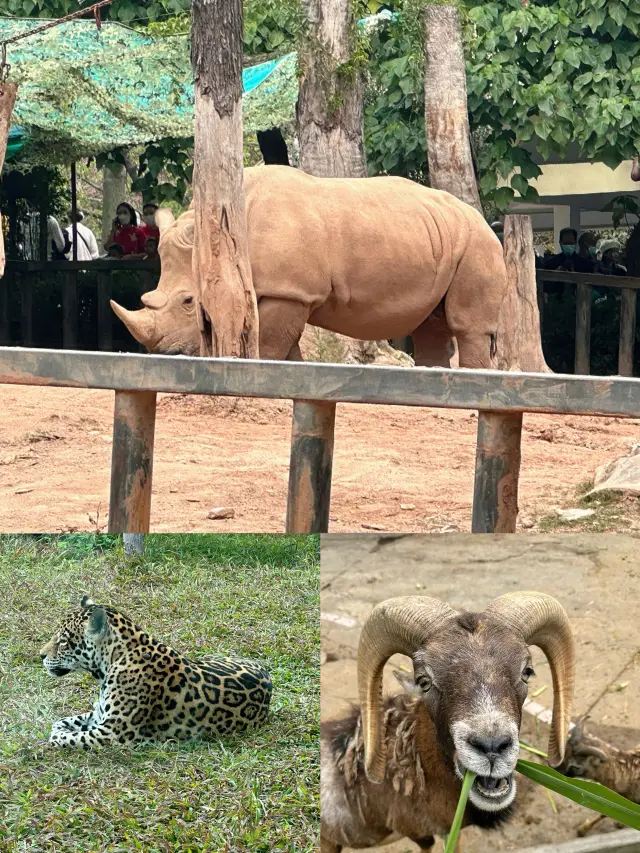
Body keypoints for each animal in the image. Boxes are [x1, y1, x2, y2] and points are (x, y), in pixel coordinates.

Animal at [38, 596, 272, 748]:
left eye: (63, 641)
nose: (40, 655)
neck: (112, 661)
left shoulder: (111, 733)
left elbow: (64, 736)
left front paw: (57, 735)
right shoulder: (98, 716)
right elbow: (60, 722)